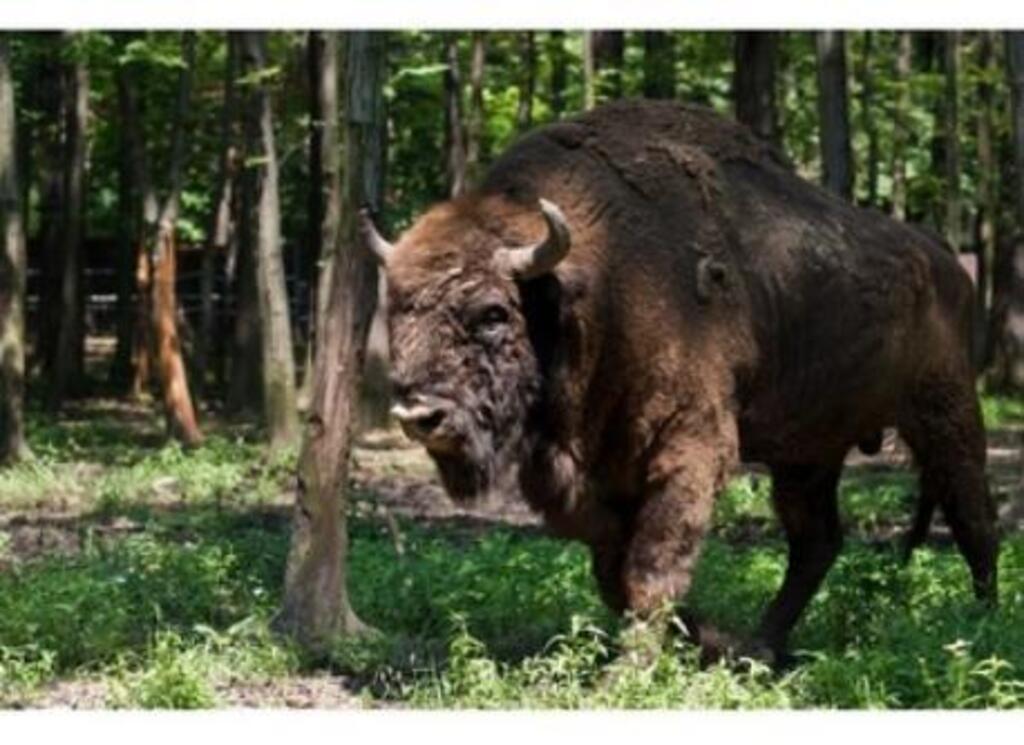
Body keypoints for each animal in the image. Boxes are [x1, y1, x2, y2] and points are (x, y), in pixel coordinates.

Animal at [361, 100, 998, 662]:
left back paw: (979, 627)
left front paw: (630, 670)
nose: (421, 416)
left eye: (493, 312)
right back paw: (761, 646)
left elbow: (652, 569)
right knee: (816, 542)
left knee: (974, 518)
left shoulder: (691, 444)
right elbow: (613, 574)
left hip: (944, 414)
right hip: (809, 453)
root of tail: (946, 260)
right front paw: (709, 641)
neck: (594, 288)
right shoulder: (589, 480)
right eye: (397, 309)